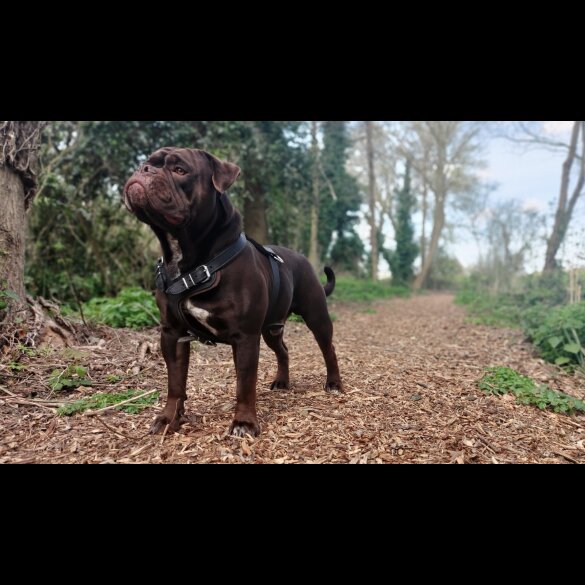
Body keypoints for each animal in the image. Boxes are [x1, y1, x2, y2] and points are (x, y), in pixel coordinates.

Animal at [124, 148, 342, 436]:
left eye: (180, 170)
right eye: (147, 162)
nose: (145, 169)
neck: (190, 262)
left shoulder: (245, 336)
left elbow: (245, 383)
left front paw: (244, 422)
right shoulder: (172, 334)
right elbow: (175, 383)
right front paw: (169, 418)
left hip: (316, 317)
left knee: (328, 349)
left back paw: (334, 383)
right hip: (271, 328)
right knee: (283, 350)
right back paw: (282, 381)